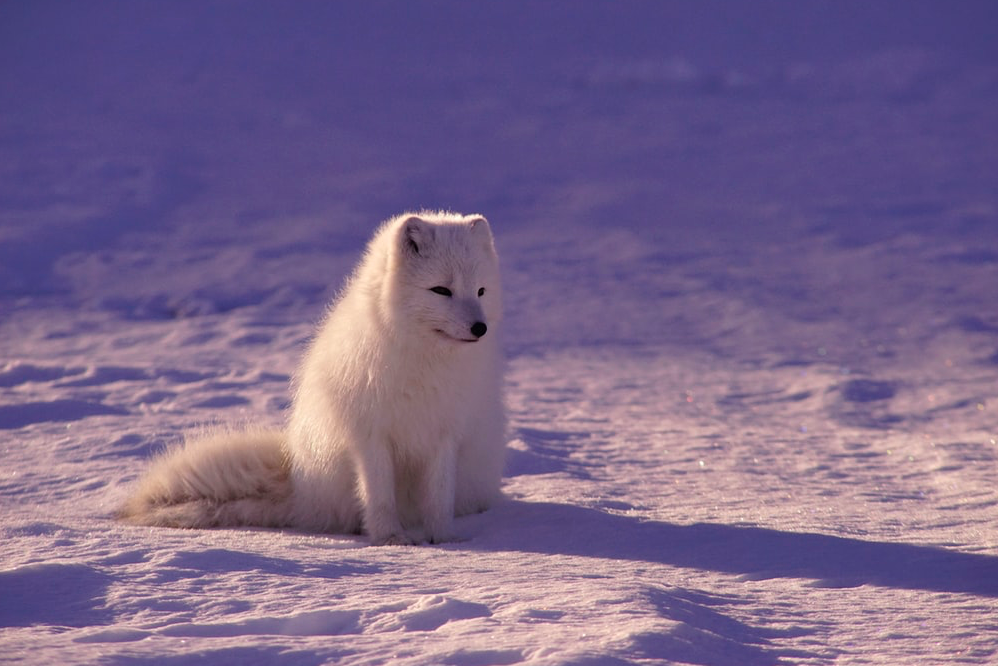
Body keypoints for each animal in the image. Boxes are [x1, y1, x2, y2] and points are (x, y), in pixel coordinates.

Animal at [118, 213, 508, 544]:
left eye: (481, 291)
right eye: (441, 290)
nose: (480, 328)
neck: (425, 362)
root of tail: (299, 485)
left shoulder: (445, 434)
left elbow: (439, 497)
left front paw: (443, 539)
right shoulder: (370, 435)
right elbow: (379, 495)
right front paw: (390, 539)